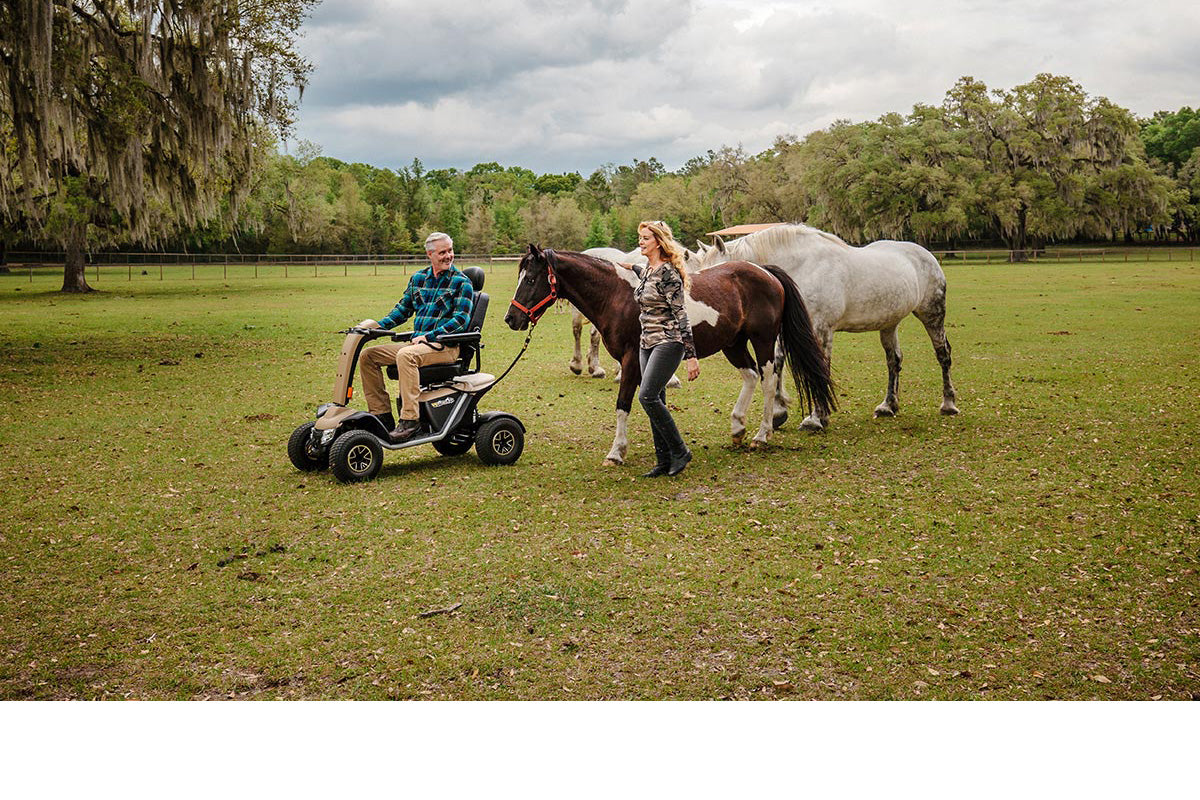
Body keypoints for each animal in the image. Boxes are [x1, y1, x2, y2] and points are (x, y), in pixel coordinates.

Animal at [499, 247, 835, 465]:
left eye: (531, 279)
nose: (511, 319)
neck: (617, 296)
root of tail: (766, 271)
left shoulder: (631, 360)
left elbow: (623, 404)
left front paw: (617, 452)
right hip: (733, 344)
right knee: (751, 376)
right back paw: (737, 427)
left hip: (762, 340)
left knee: (767, 379)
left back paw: (762, 434)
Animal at [691, 221, 960, 429]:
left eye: (717, 281)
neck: (801, 266)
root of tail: (925, 254)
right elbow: (777, 363)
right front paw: (779, 413)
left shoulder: (821, 330)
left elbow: (819, 366)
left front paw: (816, 418)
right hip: (889, 324)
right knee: (894, 361)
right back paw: (888, 406)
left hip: (932, 315)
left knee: (942, 354)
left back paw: (948, 404)